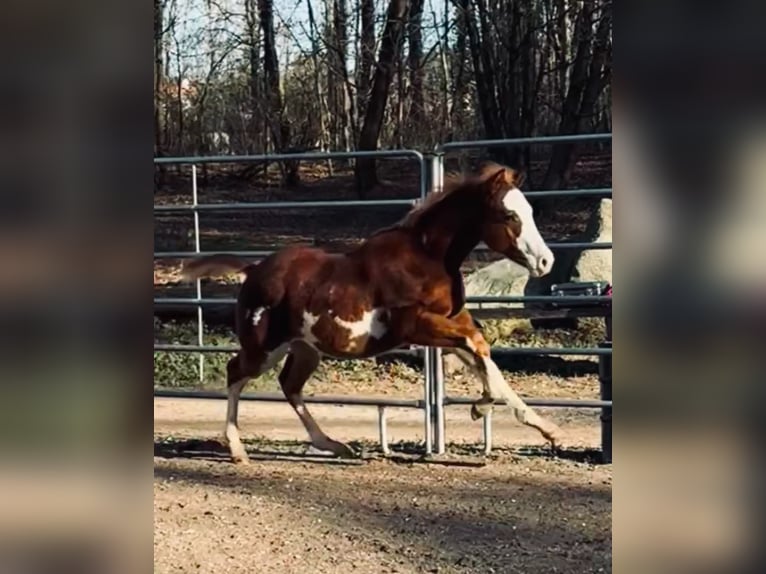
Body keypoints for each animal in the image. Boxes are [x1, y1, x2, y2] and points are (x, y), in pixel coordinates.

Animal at [180, 162, 564, 464]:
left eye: (529, 212)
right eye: (509, 215)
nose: (547, 262)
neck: (427, 258)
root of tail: (252, 269)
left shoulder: (452, 320)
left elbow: (483, 355)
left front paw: (547, 430)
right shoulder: (416, 326)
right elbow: (477, 347)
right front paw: (482, 406)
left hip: (304, 349)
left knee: (290, 386)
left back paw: (334, 445)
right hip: (264, 346)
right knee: (236, 373)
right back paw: (237, 450)